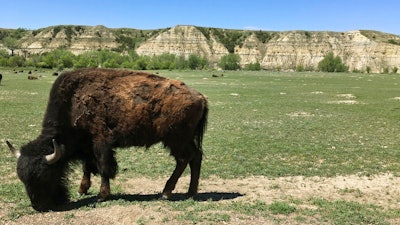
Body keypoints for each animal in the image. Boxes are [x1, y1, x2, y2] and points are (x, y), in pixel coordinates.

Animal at [7, 67, 209, 212]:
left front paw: (102, 195)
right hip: (184, 139)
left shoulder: (101, 143)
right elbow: (88, 167)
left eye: (45, 174)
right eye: (22, 179)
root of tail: (200, 97)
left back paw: (166, 193)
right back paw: (190, 192)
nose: (38, 206)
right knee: (195, 157)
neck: (72, 103)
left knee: (184, 159)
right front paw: (82, 189)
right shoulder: (87, 146)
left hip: (176, 139)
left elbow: (103, 167)